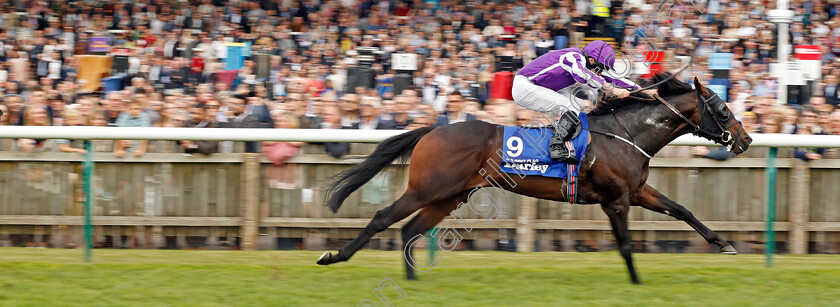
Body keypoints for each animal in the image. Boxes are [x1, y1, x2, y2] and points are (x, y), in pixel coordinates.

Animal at [316, 74, 756, 284]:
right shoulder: (615, 199)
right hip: (429, 188)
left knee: (410, 229)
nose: (747, 139)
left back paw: (411, 279)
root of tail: (431, 130)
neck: (628, 133)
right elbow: (627, 245)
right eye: (722, 107)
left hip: (450, 195)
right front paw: (636, 284)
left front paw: (724, 244)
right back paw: (334, 257)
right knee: (383, 218)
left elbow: (682, 210)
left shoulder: (637, 191)